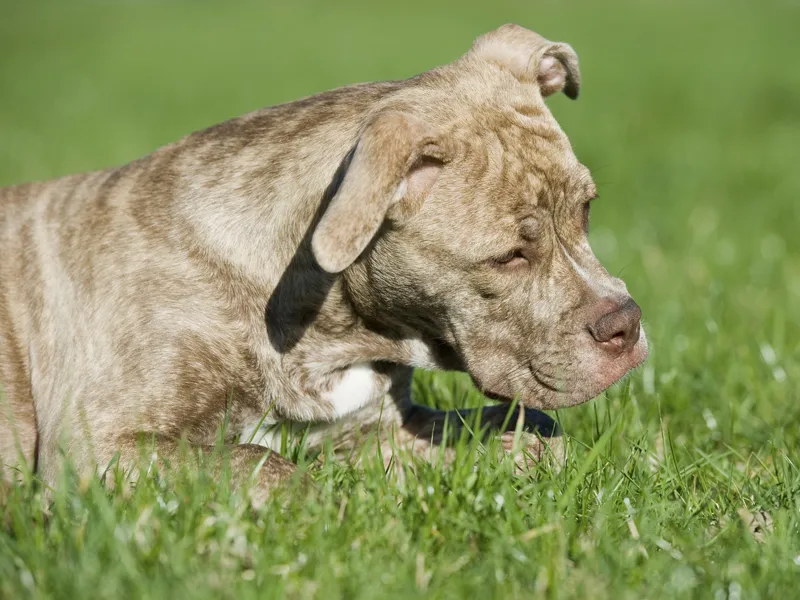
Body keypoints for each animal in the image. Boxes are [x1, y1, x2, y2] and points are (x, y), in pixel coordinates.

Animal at [0, 23, 648, 500]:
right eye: (510, 256)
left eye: (586, 211)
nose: (627, 322)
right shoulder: (98, 442)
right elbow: (262, 463)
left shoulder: (374, 428)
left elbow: (526, 429)